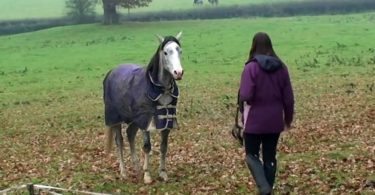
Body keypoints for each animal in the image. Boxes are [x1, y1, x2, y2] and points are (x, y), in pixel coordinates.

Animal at [103, 31, 184, 183]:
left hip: (135, 120)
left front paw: (163, 173)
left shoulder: (166, 121)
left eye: (179, 51)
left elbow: (164, 147)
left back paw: (136, 168)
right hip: (115, 120)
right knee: (119, 141)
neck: (160, 89)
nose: (178, 72)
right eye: (165, 52)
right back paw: (124, 172)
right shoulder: (146, 121)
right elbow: (147, 147)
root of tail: (111, 72)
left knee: (130, 134)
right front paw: (147, 175)